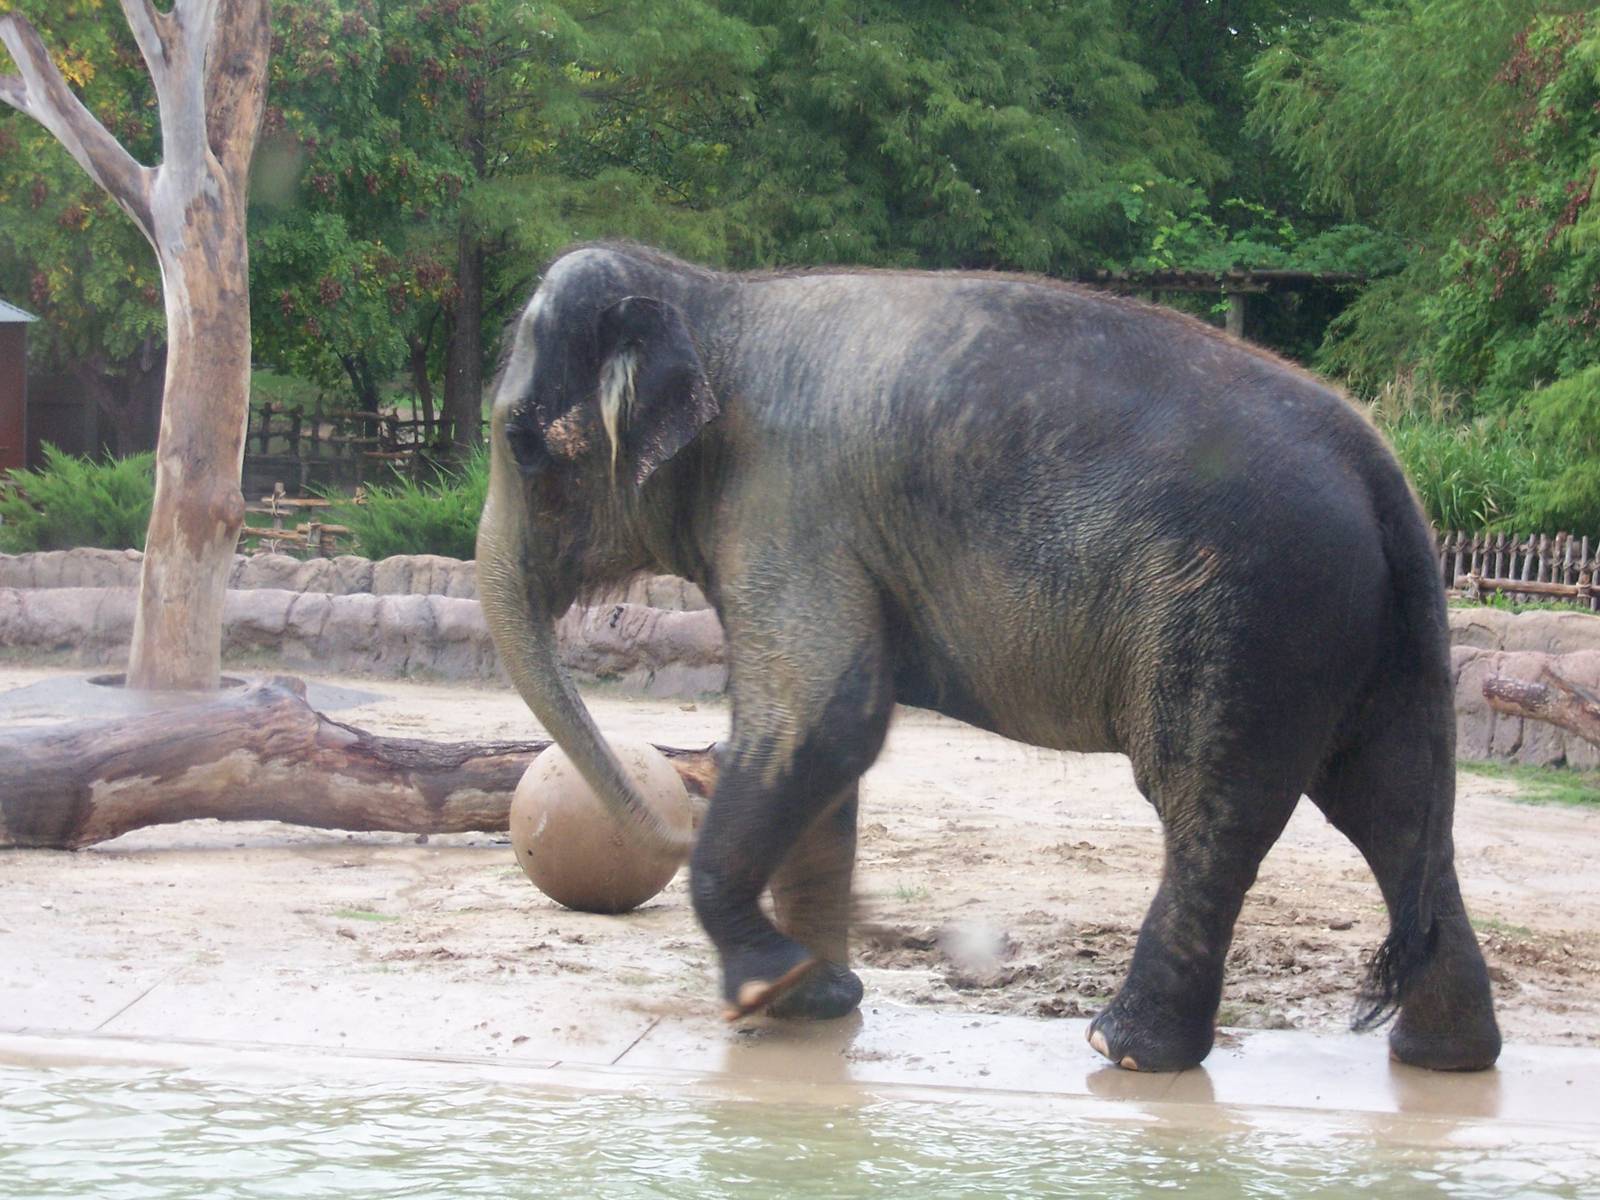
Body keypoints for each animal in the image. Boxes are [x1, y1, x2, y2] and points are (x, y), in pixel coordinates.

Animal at [475, 241, 1502, 1073]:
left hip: (1248, 613)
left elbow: (824, 718)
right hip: (1365, 635)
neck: (710, 295)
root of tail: (1383, 470)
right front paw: (816, 1003)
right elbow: (824, 750)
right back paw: (1444, 1058)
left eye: (520, 444)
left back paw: (1126, 1051)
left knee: (1212, 807)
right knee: (1394, 807)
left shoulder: (787, 506)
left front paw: (766, 989)